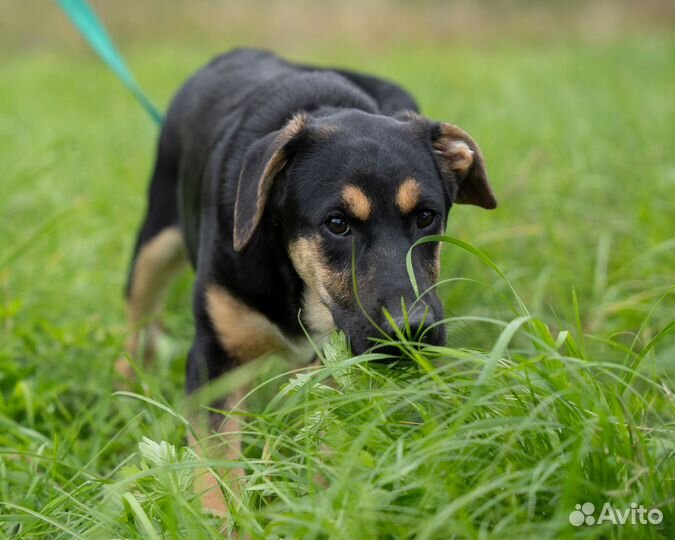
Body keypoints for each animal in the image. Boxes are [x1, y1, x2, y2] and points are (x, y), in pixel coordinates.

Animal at [116, 49, 496, 516]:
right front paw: (220, 520)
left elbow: (327, 441)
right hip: (154, 241)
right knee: (138, 322)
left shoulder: (335, 366)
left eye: (426, 217)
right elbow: (216, 463)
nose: (412, 330)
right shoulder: (216, 356)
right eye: (336, 224)